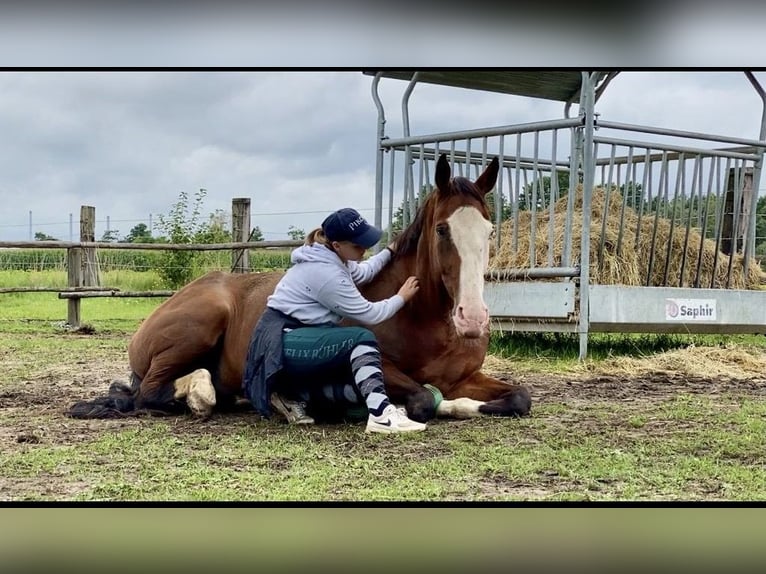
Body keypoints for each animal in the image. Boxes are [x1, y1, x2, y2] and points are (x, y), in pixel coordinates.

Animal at [69, 155, 532, 426]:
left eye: (490, 230)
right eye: (441, 230)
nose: (472, 320)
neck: (425, 322)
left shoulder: (468, 377)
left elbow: (520, 397)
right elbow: (422, 397)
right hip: (200, 324)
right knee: (150, 393)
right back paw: (203, 396)